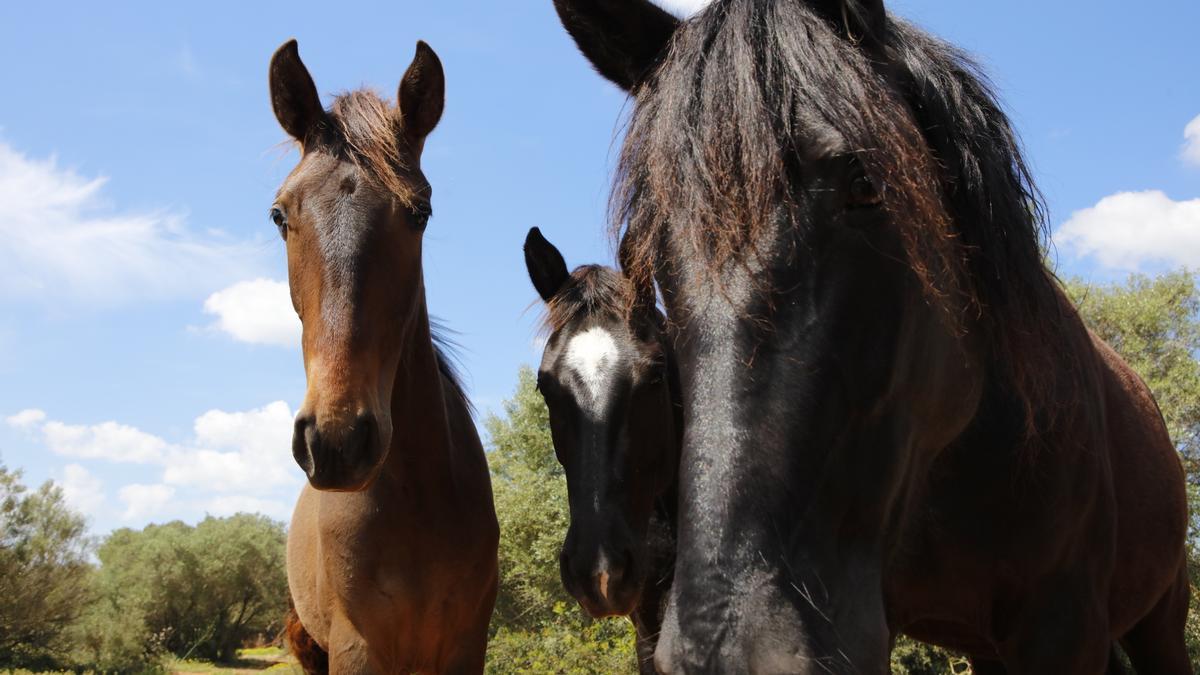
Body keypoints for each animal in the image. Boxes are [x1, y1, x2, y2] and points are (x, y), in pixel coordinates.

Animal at [270, 39, 499, 667]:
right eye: (279, 215)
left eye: (420, 212)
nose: (336, 440)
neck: (418, 498)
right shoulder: (358, 647)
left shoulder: (466, 647)